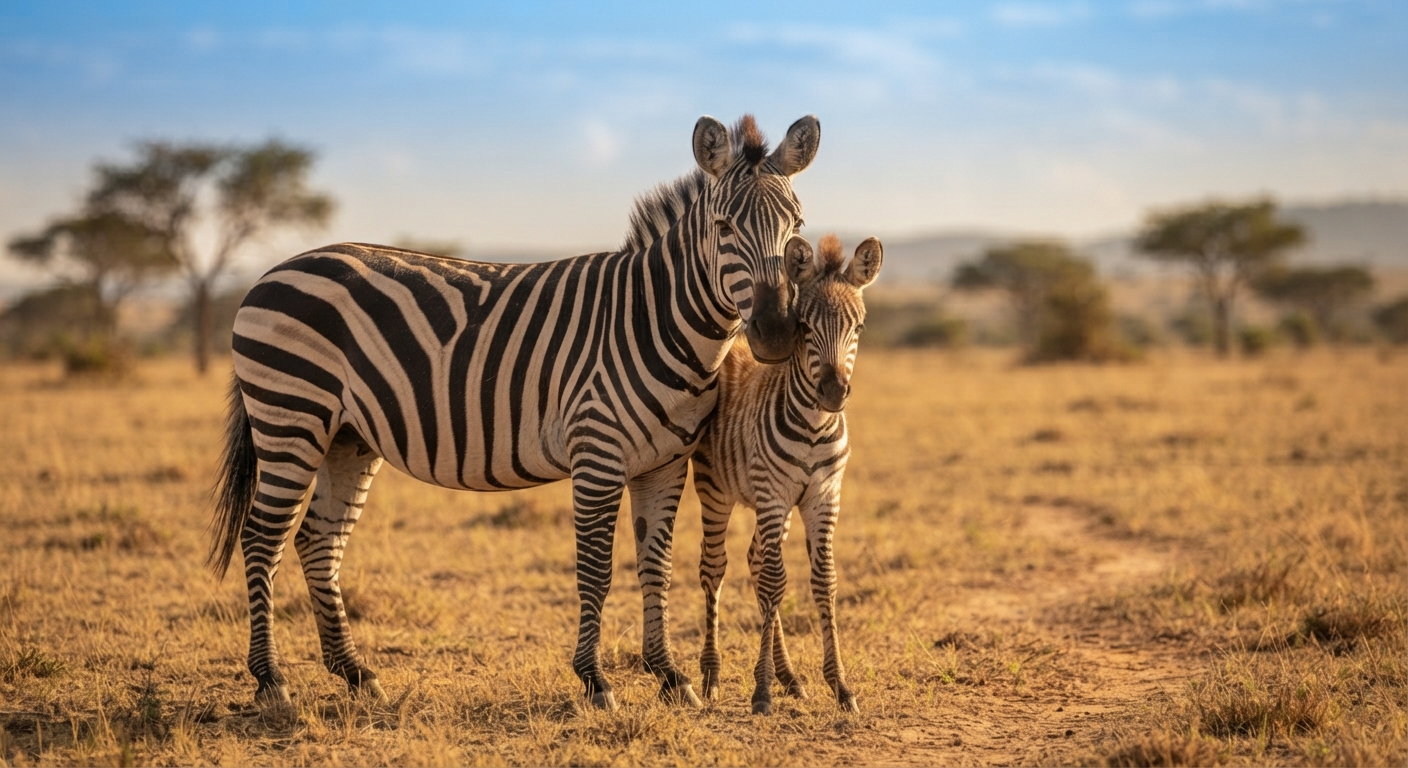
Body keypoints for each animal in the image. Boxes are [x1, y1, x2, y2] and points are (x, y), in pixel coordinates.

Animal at [208, 114, 822, 711]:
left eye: (797, 228)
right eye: (724, 228)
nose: (774, 332)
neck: (655, 319)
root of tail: (271, 273)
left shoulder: (664, 463)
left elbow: (656, 565)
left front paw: (669, 675)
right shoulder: (597, 454)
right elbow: (596, 570)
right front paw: (595, 680)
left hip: (347, 437)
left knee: (318, 540)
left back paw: (356, 673)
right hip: (292, 417)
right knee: (262, 538)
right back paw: (271, 681)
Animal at [692, 233, 881, 715]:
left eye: (858, 329)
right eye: (804, 327)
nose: (833, 393)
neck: (814, 427)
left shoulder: (823, 496)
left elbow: (824, 581)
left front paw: (840, 686)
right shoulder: (774, 494)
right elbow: (777, 582)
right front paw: (761, 692)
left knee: (756, 561)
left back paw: (790, 677)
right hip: (717, 491)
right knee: (715, 569)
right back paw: (712, 677)